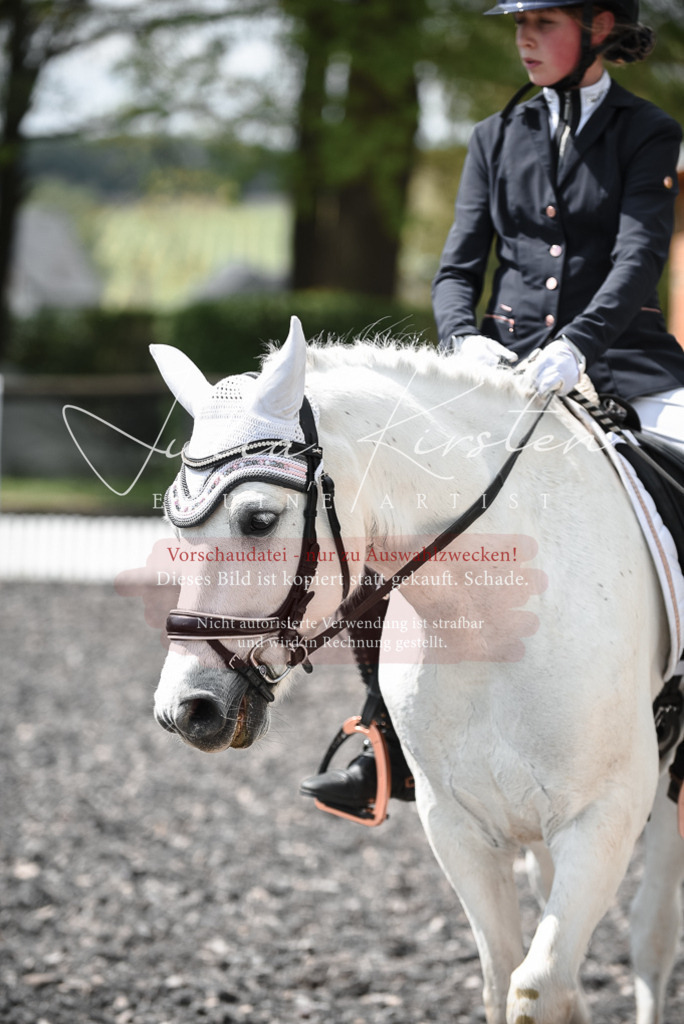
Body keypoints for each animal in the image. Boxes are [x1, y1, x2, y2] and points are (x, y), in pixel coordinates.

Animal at [149, 316, 684, 1024]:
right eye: (172, 520)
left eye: (259, 520)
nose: (188, 710)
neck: (495, 624)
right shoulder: (457, 825)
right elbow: (503, 976)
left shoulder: (605, 817)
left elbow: (537, 985)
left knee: (652, 936)